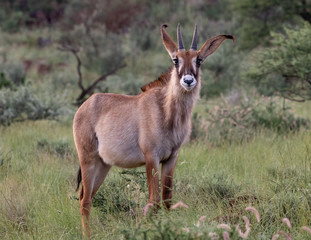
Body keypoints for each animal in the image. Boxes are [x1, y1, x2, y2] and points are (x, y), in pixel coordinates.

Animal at [73, 23, 234, 235]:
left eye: (198, 60)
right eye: (175, 59)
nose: (188, 81)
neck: (166, 112)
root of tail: (84, 106)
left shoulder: (171, 158)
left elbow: (167, 200)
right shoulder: (151, 157)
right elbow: (154, 201)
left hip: (103, 165)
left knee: (87, 196)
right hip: (88, 159)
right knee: (84, 200)